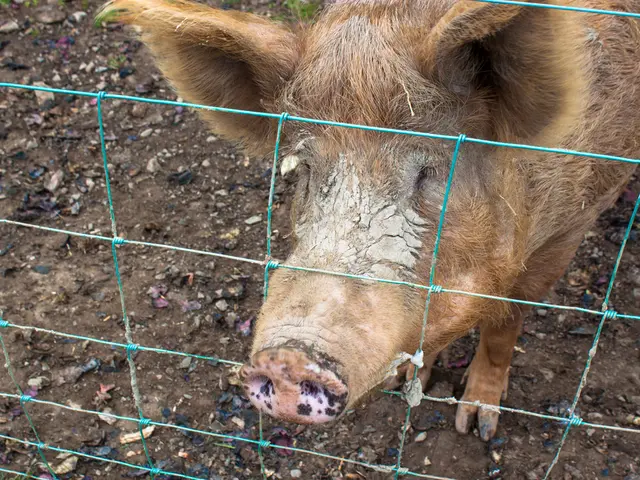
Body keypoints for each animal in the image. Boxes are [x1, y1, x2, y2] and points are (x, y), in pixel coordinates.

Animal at [100, 0, 640, 441]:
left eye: (428, 172)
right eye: (305, 168)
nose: (289, 357)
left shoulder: (574, 222)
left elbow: (506, 321)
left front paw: (476, 426)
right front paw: (406, 381)